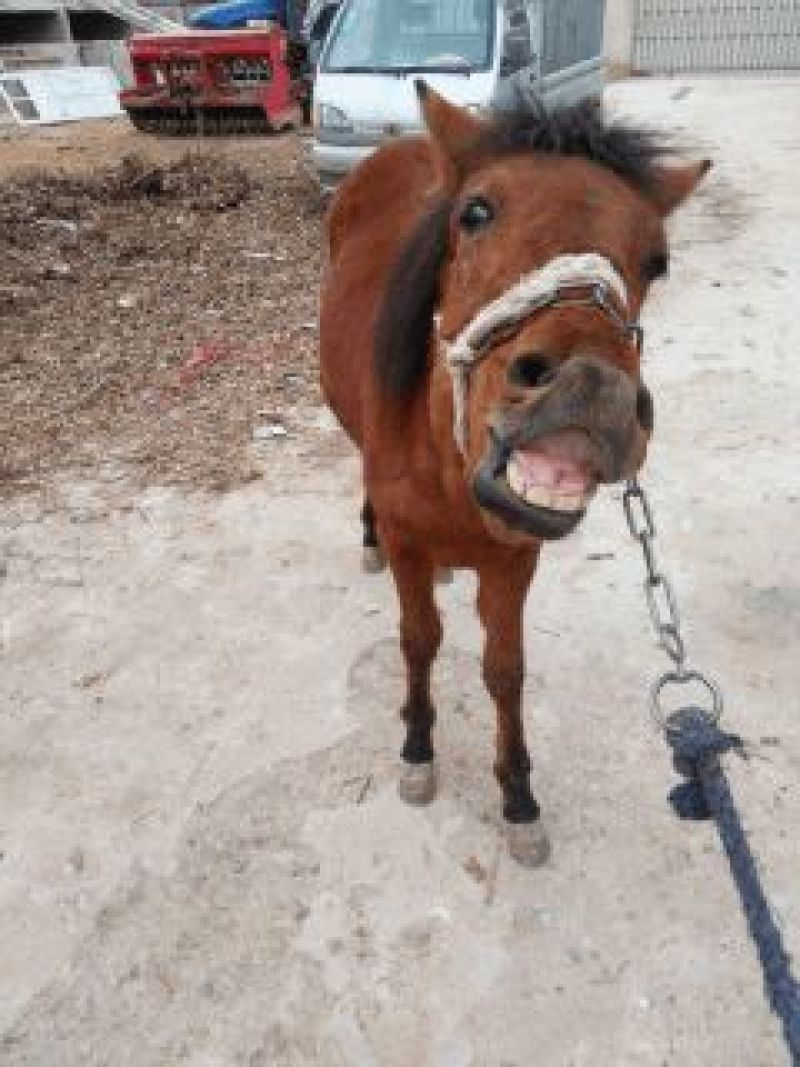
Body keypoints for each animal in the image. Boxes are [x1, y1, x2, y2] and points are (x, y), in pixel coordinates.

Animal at [319, 84, 710, 866]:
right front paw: (417, 750)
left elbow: (505, 668)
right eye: (475, 213)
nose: (593, 389)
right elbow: (419, 640)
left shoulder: (515, 557)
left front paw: (519, 797)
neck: (451, 471)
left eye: (657, 260)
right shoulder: (410, 545)